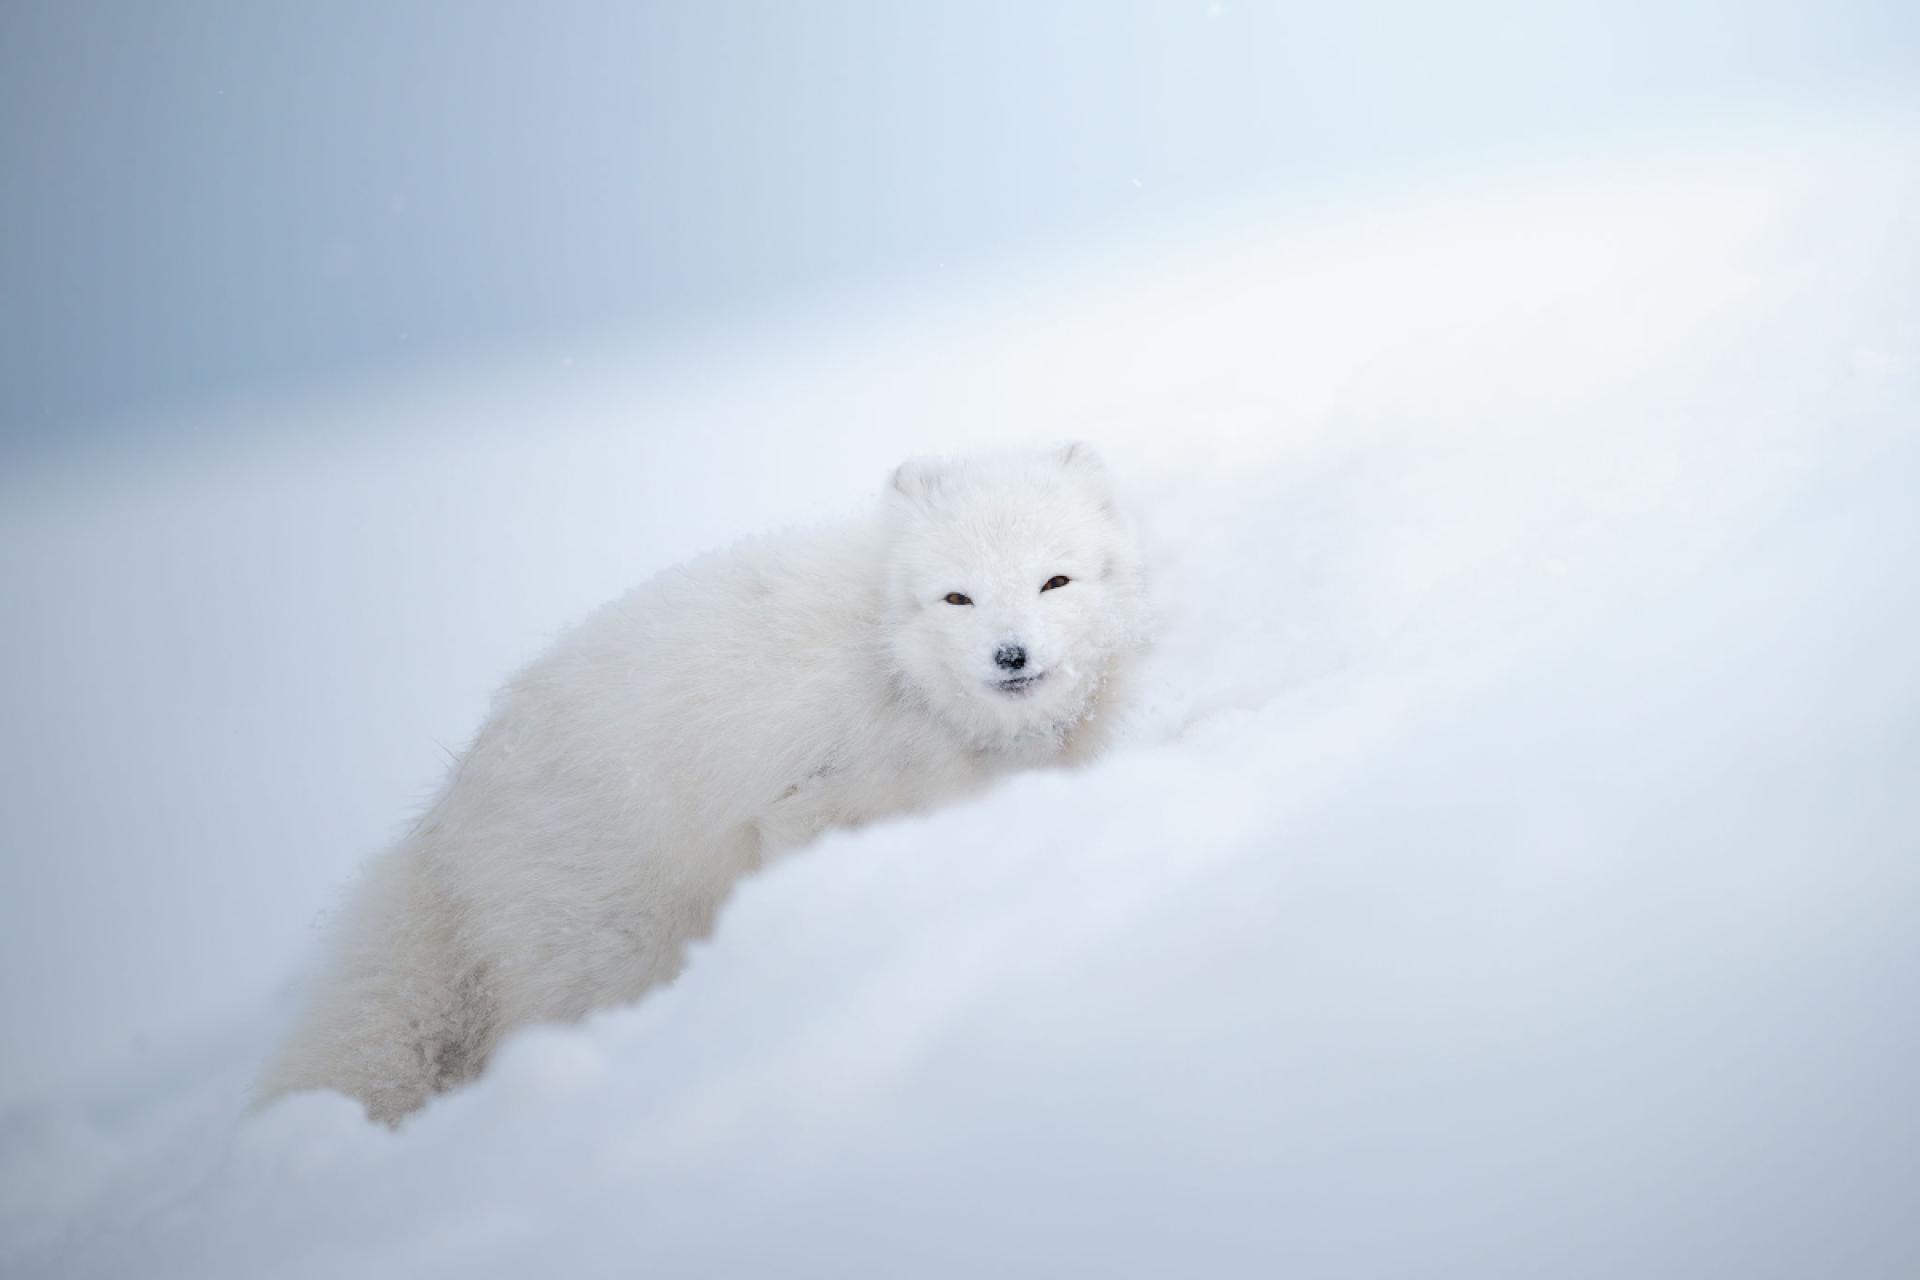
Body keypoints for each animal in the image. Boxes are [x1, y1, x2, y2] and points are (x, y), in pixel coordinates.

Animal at [261, 445, 1144, 1128]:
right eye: (958, 596)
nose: (1010, 654)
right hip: (612, 935)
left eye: (1055, 582)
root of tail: (446, 818)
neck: (903, 678)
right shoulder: (811, 800)